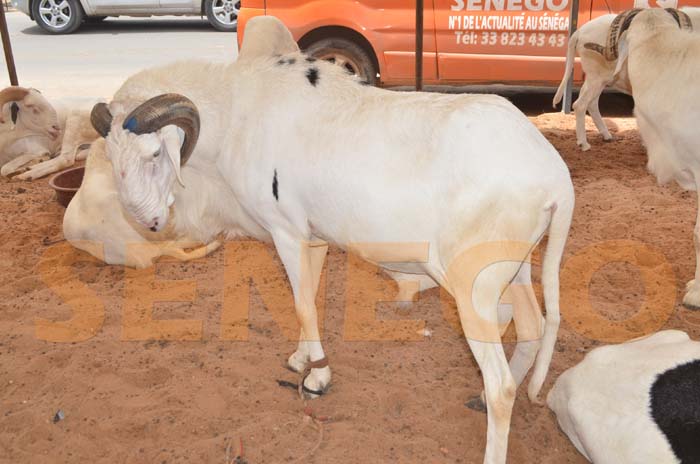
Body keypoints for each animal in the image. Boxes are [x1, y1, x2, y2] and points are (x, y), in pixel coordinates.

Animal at [90, 17, 574, 464]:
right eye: (112, 157)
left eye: (155, 154)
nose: (145, 220)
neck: (239, 115)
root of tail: (555, 177)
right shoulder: (313, 236)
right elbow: (310, 298)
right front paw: (304, 360)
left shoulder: (285, 229)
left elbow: (301, 303)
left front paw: (317, 379)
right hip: (513, 267)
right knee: (531, 328)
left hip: (474, 283)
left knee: (502, 385)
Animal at [552, 7, 700, 151]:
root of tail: (580, 31)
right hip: (596, 78)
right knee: (580, 105)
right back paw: (584, 143)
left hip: (597, 79)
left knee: (592, 103)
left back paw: (606, 135)